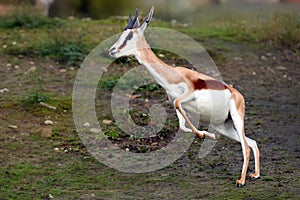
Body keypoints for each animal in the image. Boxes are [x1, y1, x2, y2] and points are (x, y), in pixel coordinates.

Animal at [108, 6, 260, 188]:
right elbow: (182, 125)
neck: (172, 74)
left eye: (129, 35)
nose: (111, 50)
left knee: (246, 146)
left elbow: (178, 104)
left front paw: (202, 135)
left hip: (237, 118)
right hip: (224, 126)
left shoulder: (186, 95)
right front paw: (206, 135)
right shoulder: (180, 106)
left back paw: (241, 181)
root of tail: (237, 95)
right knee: (252, 143)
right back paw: (255, 174)